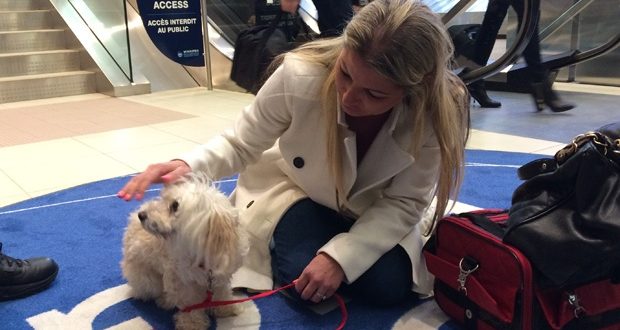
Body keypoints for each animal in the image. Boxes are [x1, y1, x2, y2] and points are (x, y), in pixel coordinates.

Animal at [121, 174, 247, 328]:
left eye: (175, 206)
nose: (142, 215)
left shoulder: (220, 277)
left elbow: (222, 293)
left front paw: (226, 308)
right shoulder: (181, 282)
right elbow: (190, 305)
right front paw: (192, 324)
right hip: (147, 279)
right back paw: (165, 300)